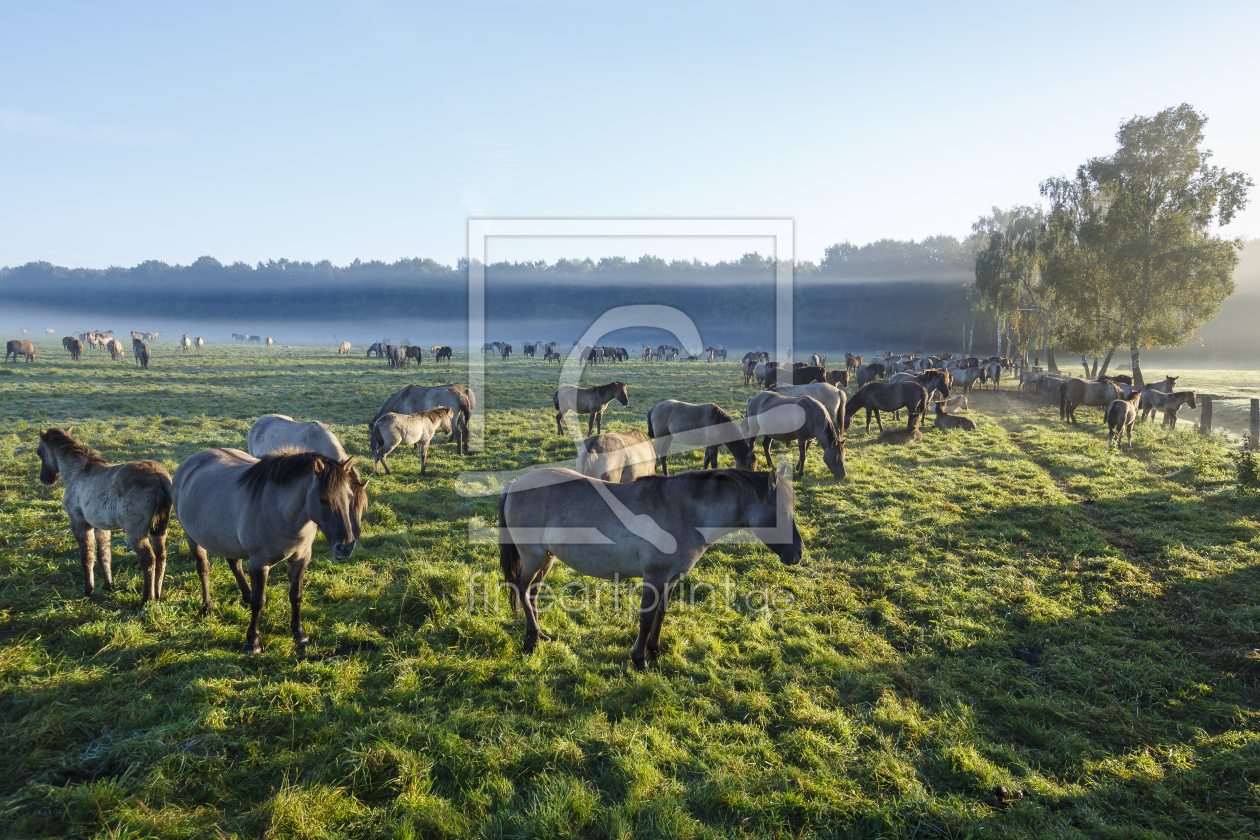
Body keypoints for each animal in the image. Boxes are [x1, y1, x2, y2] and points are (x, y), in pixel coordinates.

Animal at [37, 430, 175, 601]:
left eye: (39, 452)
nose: (45, 479)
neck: (78, 472)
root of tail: (158, 477)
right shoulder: (101, 527)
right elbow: (104, 554)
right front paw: (108, 585)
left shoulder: (79, 524)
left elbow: (87, 556)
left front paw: (88, 590)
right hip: (160, 528)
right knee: (161, 556)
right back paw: (157, 594)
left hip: (136, 532)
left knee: (148, 559)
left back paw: (147, 599)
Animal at [170, 450, 365, 654]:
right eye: (323, 499)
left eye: (350, 498)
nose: (345, 546)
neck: (281, 511)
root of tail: (190, 461)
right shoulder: (259, 563)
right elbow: (258, 602)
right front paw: (252, 643)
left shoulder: (301, 559)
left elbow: (296, 596)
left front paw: (300, 634)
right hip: (193, 539)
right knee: (203, 569)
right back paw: (207, 605)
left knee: (235, 564)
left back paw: (245, 595)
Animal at [496, 465, 801, 669]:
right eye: (782, 513)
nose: (798, 553)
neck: (685, 512)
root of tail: (514, 485)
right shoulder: (653, 577)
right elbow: (646, 618)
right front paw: (639, 658)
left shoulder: (671, 578)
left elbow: (661, 615)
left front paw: (655, 649)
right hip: (533, 556)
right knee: (521, 590)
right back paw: (531, 639)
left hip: (547, 557)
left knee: (532, 594)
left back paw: (539, 634)